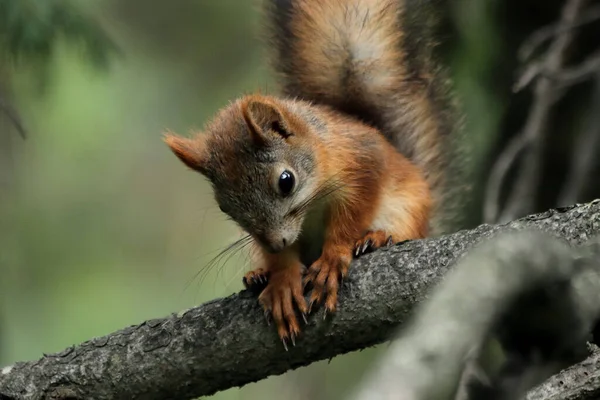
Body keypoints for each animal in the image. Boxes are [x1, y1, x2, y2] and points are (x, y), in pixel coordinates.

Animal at [163, 0, 464, 346]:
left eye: (286, 181)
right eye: (226, 208)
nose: (277, 243)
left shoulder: (362, 162)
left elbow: (351, 216)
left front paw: (333, 257)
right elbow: (281, 261)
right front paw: (281, 280)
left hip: (408, 206)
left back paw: (378, 238)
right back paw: (258, 274)